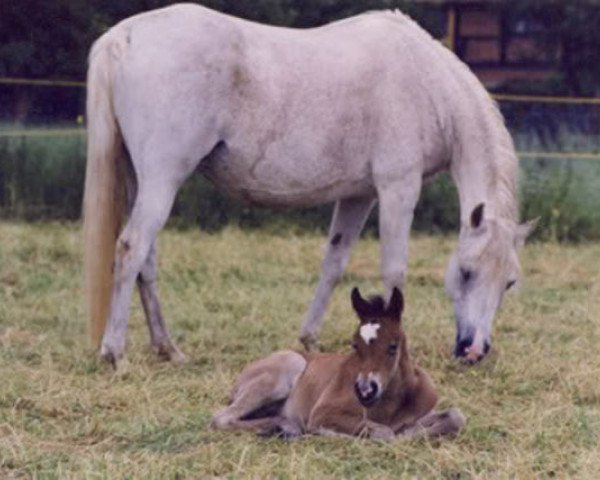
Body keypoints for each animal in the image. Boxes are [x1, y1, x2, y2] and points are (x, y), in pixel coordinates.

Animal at [83, 3, 536, 368]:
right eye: (466, 272)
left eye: (510, 282)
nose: (474, 351)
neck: (425, 82)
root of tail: (124, 35)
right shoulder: (398, 188)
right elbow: (394, 272)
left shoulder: (358, 195)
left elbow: (333, 263)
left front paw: (309, 340)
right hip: (163, 179)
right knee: (131, 250)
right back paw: (115, 353)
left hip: (144, 181)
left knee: (146, 262)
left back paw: (167, 349)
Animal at [213, 286, 466, 440]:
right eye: (354, 345)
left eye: (393, 346)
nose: (365, 390)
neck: (392, 402)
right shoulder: (323, 412)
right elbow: (384, 433)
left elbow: (456, 417)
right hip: (288, 366)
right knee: (220, 418)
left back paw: (283, 426)